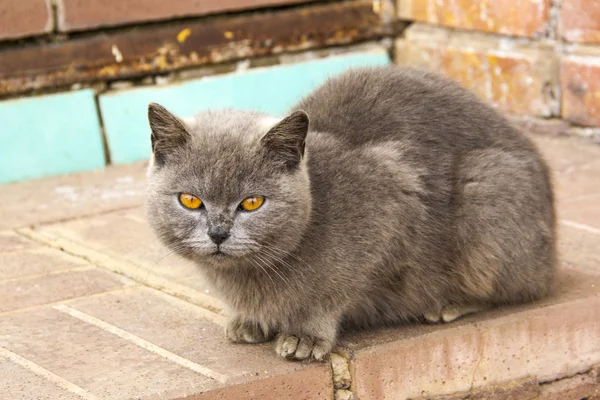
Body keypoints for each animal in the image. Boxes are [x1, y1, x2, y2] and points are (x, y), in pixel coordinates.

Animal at [146, 65, 556, 360]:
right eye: (190, 200)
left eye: (251, 203)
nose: (218, 233)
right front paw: (248, 322)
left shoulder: (392, 201)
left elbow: (334, 293)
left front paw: (306, 335)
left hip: (486, 188)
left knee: (516, 288)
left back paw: (449, 304)